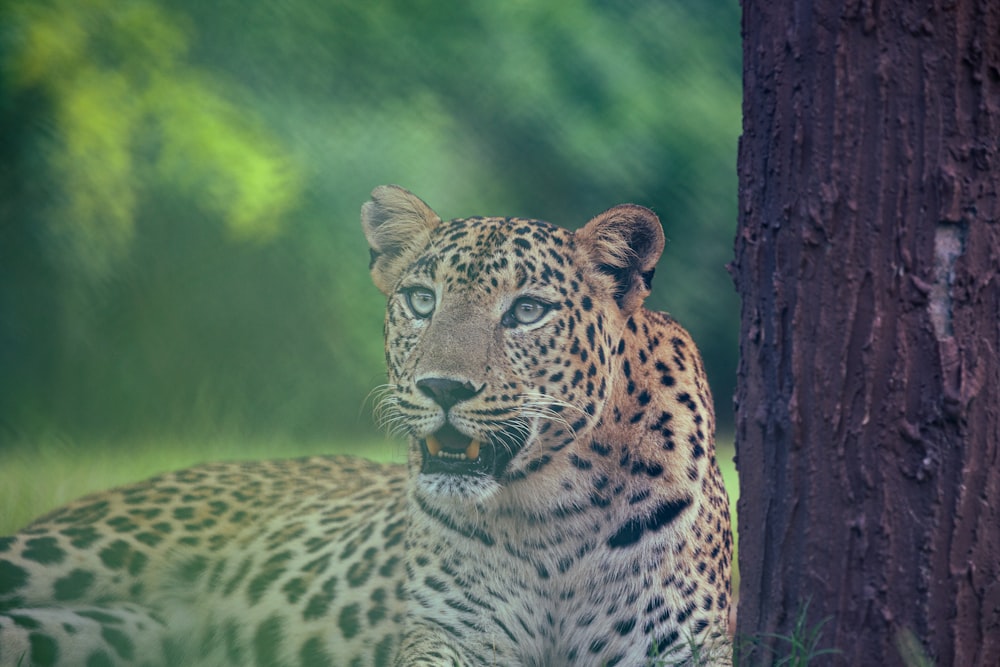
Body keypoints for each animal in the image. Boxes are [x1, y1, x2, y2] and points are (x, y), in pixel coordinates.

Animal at [0, 184, 736, 667]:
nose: (442, 387)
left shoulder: (687, 646)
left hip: (112, 633)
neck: (549, 515)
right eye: (421, 299)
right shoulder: (449, 635)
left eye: (527, 310)